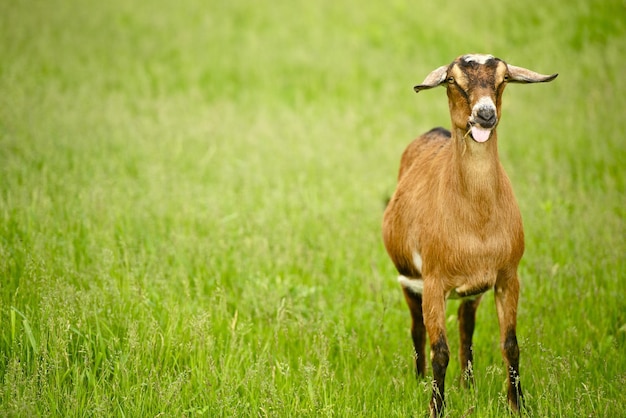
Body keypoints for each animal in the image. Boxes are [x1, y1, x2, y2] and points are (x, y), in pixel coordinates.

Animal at [380, 54, 556, 416]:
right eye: (453, 80)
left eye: (503, 79)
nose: (485, 114)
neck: (476, 226)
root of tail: (434, 132)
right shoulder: (433, 282)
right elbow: (439, 351)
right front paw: (435, 408)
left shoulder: (507, 276)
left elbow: (511, 344)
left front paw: (517, 404)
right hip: (408, 279)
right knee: (417, 329)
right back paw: (419, 379)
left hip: (471, 291)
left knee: (466, 325)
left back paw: (467, 383)